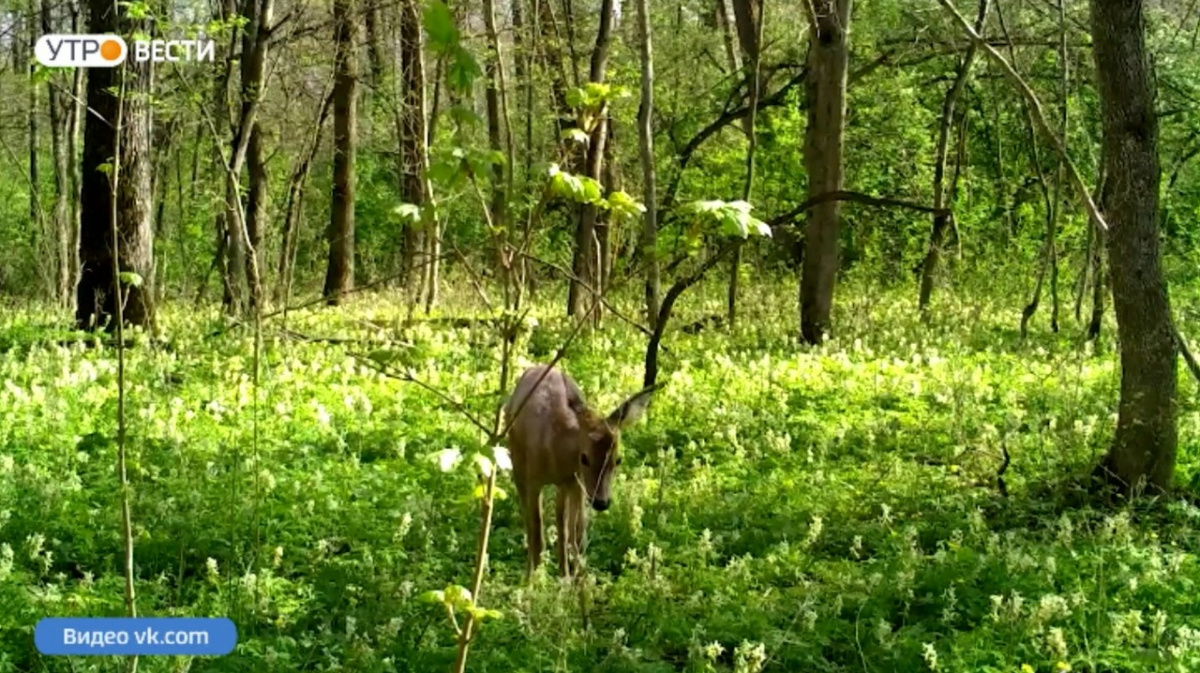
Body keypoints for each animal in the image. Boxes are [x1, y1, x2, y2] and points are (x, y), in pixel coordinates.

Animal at [504, 362, 662, 578]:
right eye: (585, 457)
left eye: (618, 459)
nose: (602, 502)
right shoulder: (534, 478)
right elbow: (536, 532)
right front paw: (533, 580)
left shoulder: (574, 483)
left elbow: (575, 536)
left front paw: (572, 581)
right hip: (518, 462)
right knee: (534, 523)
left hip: (571, 486)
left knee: (566, 527)